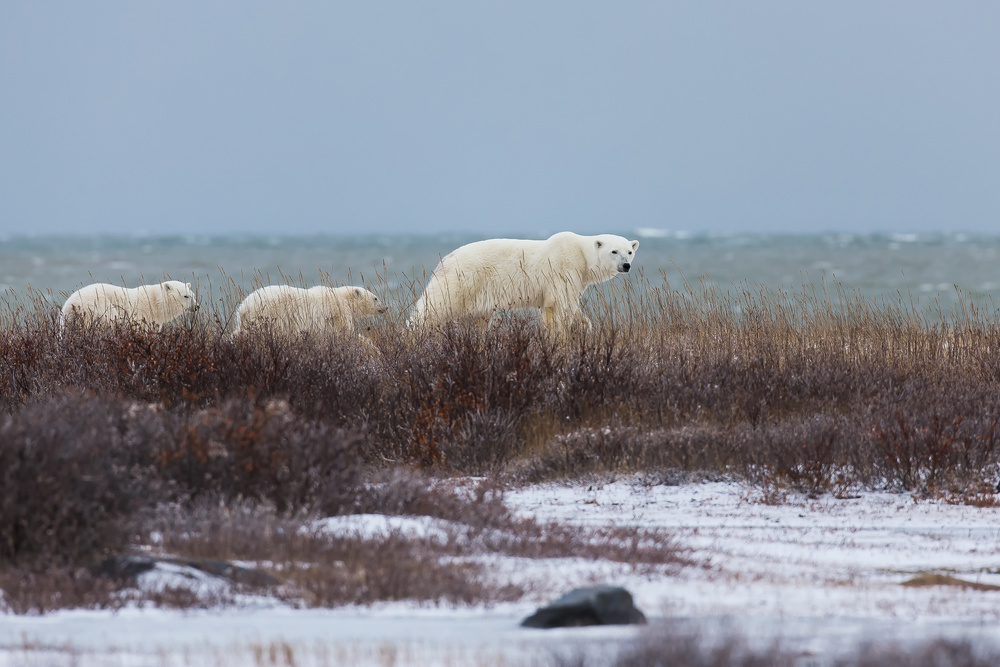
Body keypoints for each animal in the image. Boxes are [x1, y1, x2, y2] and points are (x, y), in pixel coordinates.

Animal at [61, 280, 199, 330]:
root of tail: (73, 304)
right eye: (185, 296)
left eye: (192, 295)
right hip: (98, 310)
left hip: (67, 319)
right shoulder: (141, 316)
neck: (154, 302)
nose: (197, 307)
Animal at [232, 286, 388, 340]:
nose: (385, 307)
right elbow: (346, 331)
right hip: (267, 315)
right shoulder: (338, 313)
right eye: (375, 298)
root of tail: (244, 306)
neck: (341, 297)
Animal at [408, 232, 636, 336]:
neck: (581, 254)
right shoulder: (564, 269)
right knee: (435, 307)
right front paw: (562, 336)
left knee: (477, 320)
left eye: (629, 251)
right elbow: (559, 307)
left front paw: (583, 325)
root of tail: (446, 258)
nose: (626, 265)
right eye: (614, 251)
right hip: (463, 279)